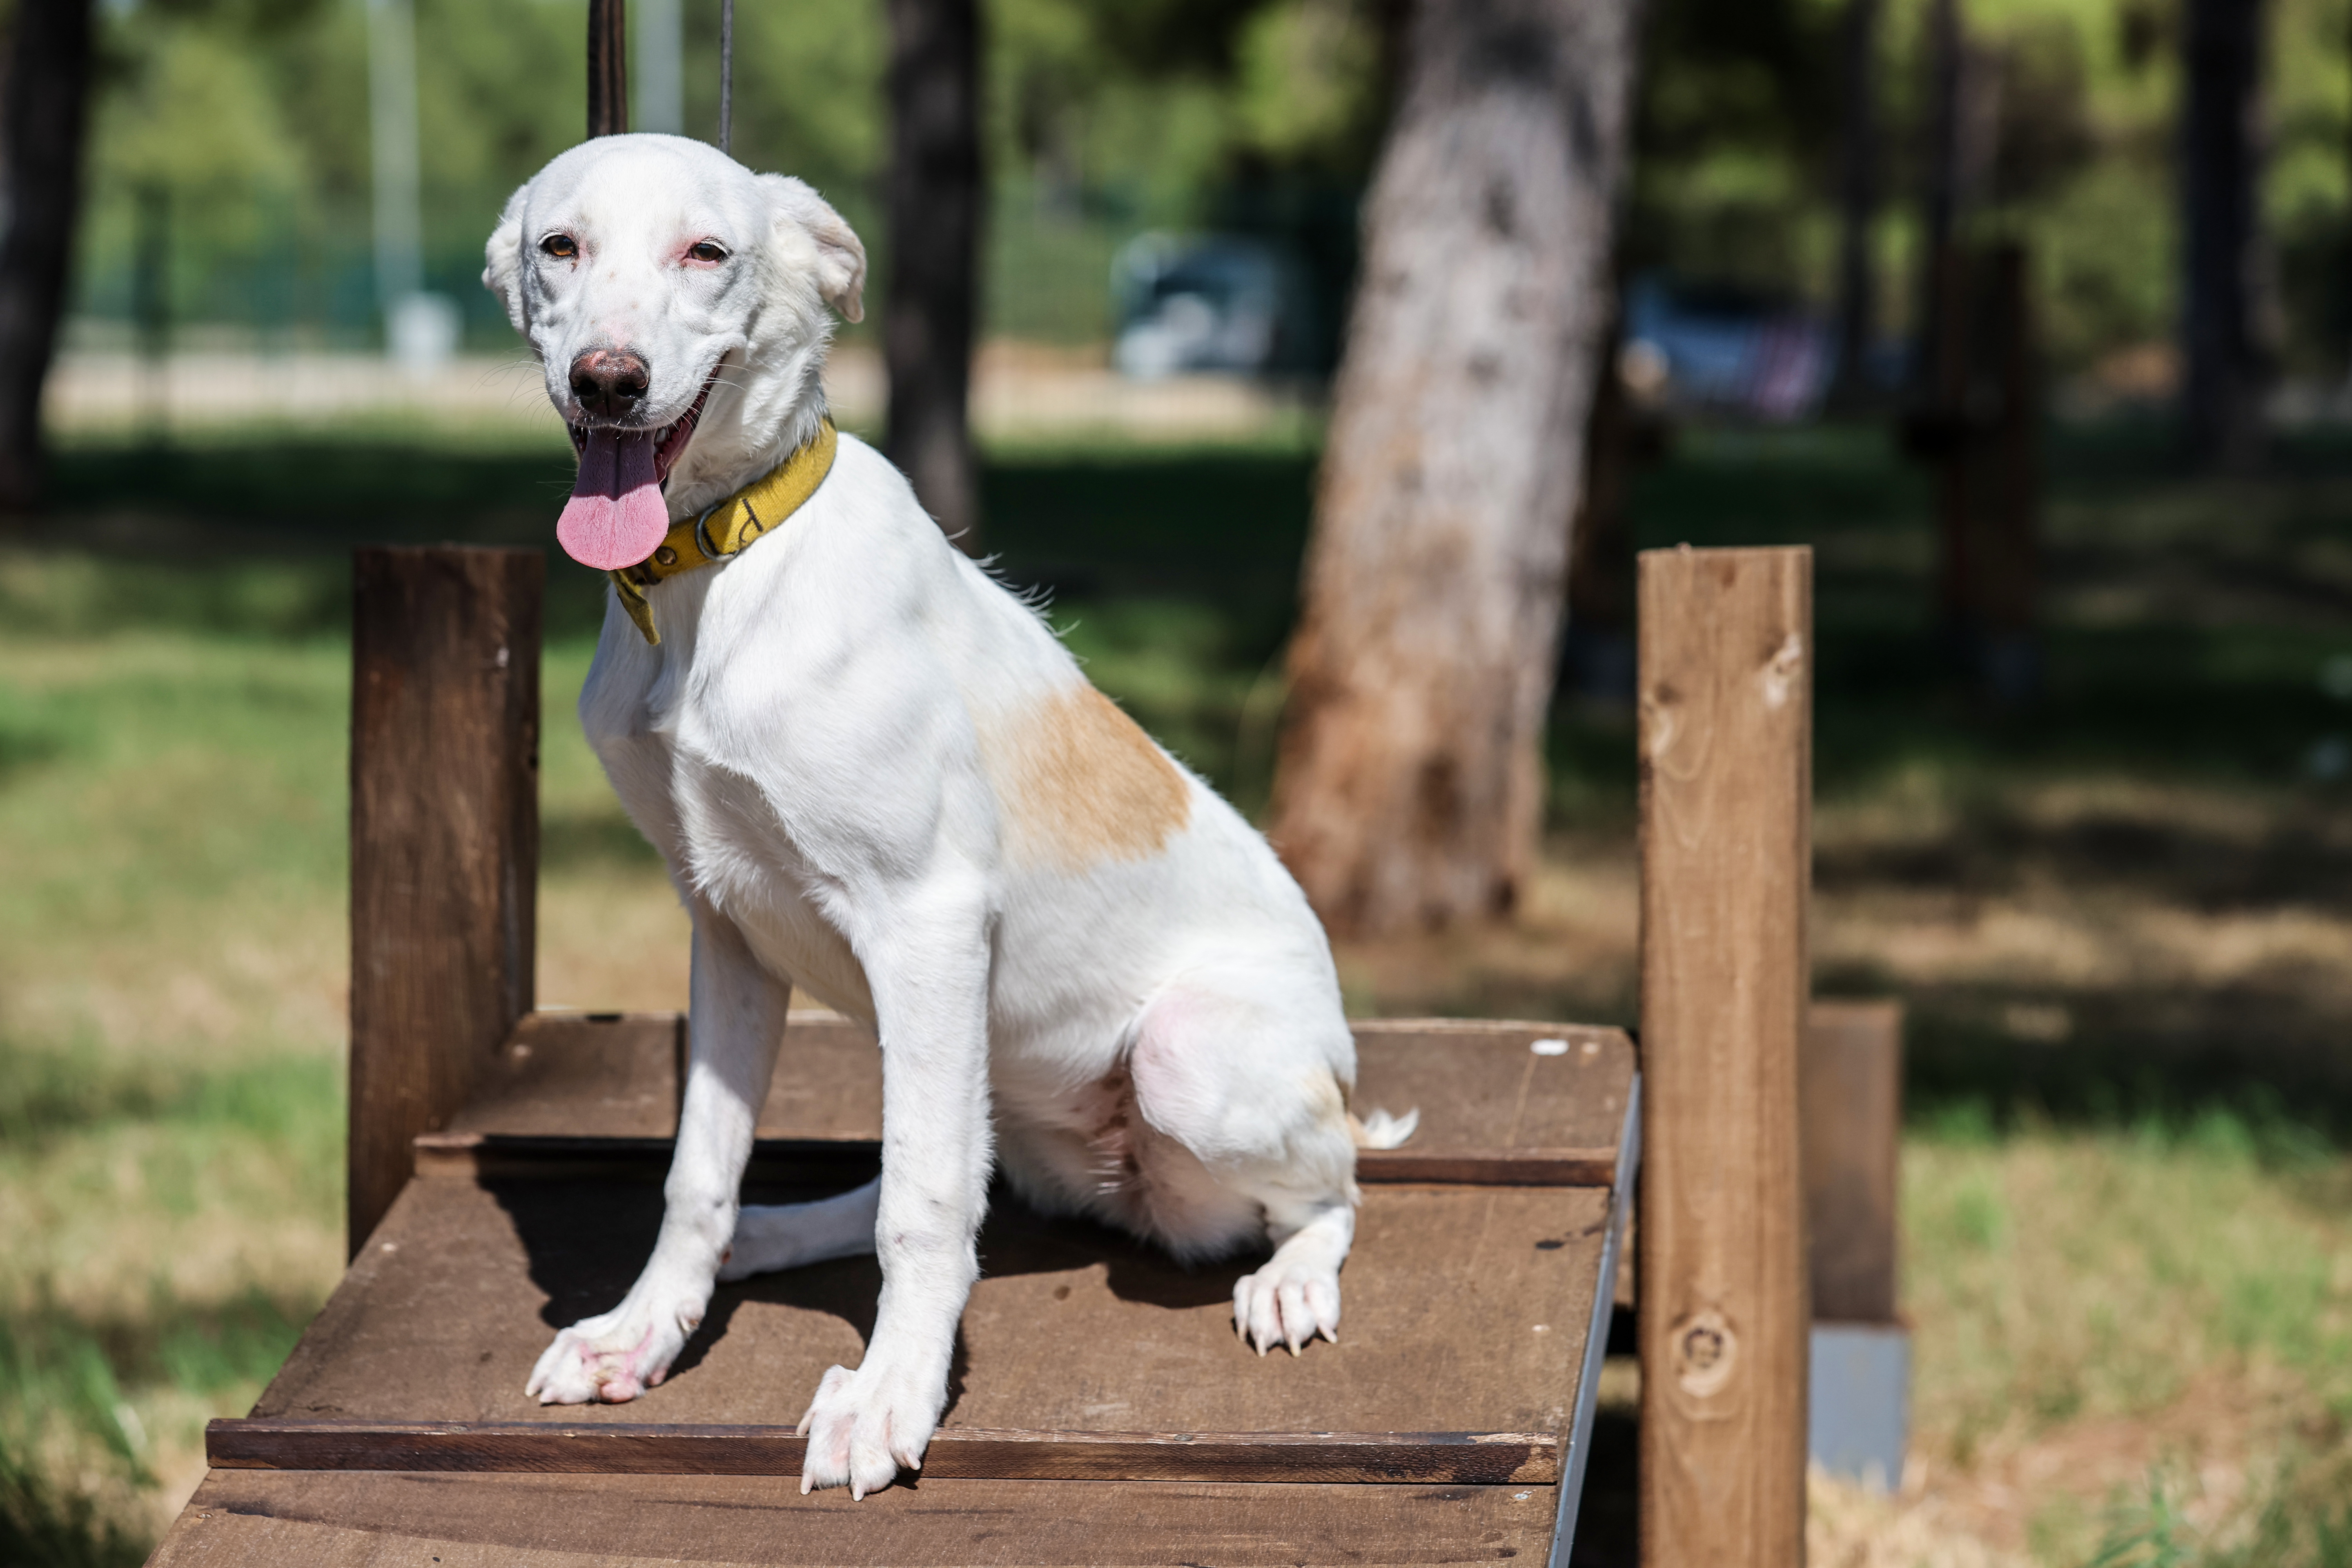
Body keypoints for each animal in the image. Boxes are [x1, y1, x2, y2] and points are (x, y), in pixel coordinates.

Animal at [485, 141, 1402, 1504]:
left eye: (708, 252)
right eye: (561, 248)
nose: (610, 379)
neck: (719, 568)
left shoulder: (925, 917)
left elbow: (918, 1210)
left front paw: (888, 1398)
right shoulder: (726, 930)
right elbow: (702, 1172)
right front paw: (646, 1329)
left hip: (1186, 1060)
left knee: (1333, 1183)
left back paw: (1290, 1278)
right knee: (968, 1173)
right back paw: (778, 1231)